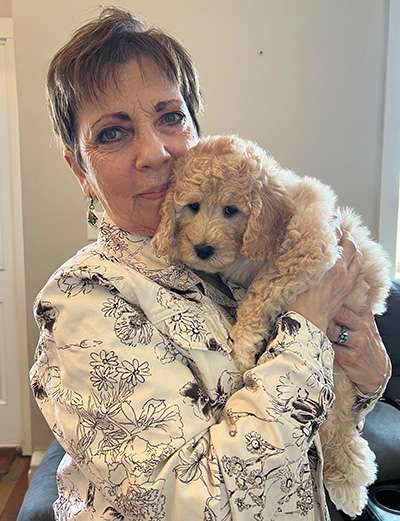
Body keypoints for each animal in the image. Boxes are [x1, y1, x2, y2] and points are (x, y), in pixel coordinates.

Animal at [152, 134, 390, 516]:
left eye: (230, 210)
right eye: (192, 206)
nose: (202, 249)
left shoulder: (309, 246)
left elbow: (264, 287)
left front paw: (244, 342)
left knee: (341, 428)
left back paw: (348, 485)